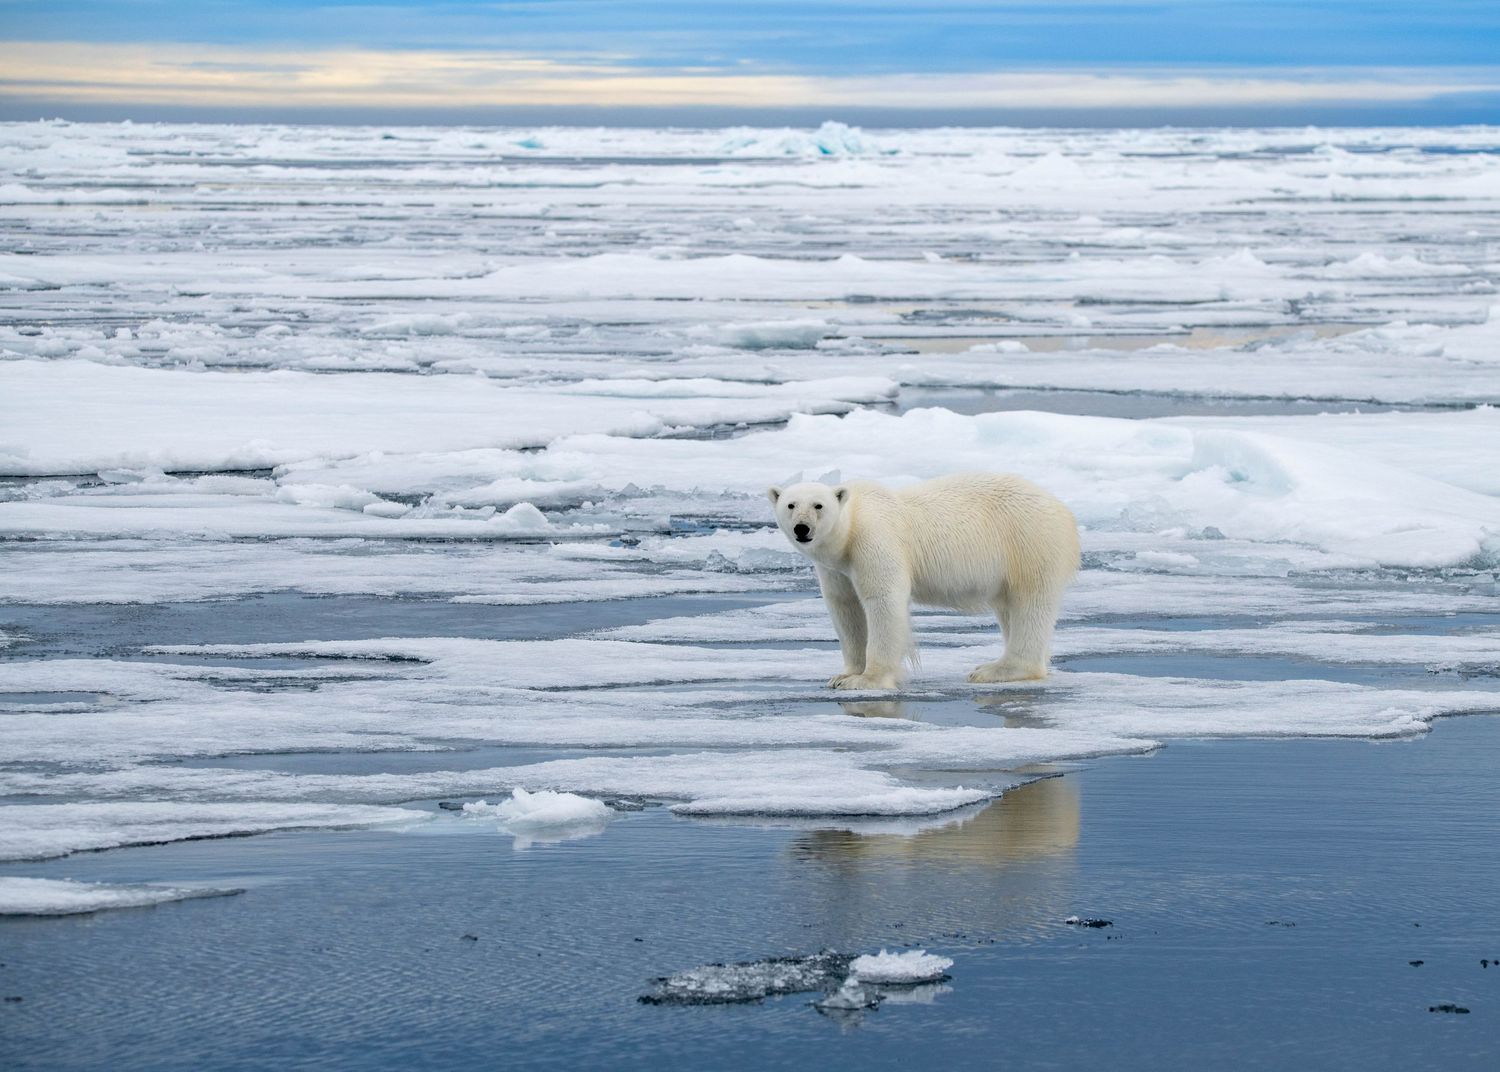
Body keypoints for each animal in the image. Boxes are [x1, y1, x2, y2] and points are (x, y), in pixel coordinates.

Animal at [767, 474, 1080, 690]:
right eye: (790, 505)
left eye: (818, 505)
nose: (802, 528)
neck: (851, 525)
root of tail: (1064, 511)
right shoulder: (836, 568)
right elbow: (846, 607)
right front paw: (844, 675)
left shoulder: (874, 541)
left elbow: (883, 600)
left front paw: (867, 680)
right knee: (1009, 608)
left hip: (1028, 543)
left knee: (1029, 604)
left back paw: (995, 670)